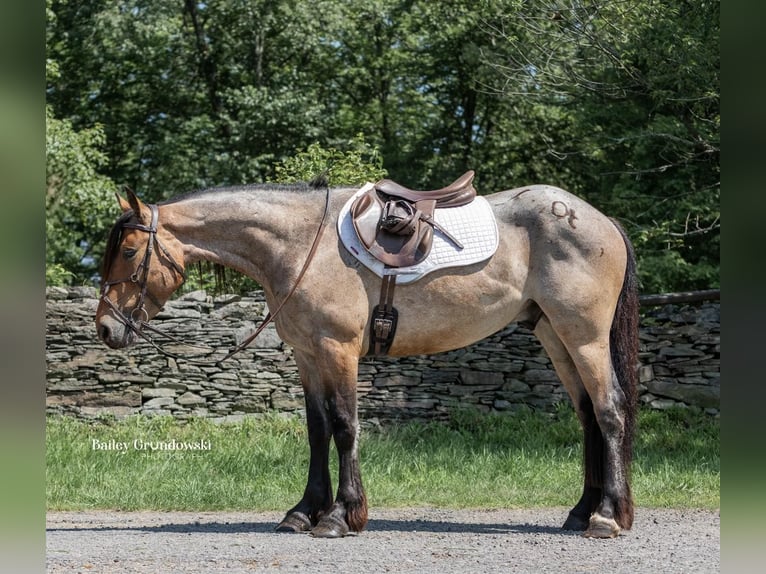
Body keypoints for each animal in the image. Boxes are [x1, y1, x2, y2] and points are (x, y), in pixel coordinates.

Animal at [93, 174, 640, 540]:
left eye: (128, 252)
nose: (105, 328)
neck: (298, 245)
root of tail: (600, 220)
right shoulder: (307, 355)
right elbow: (317, 430)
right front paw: (303, 512)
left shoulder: (337, 350)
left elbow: (344, 426)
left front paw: (341, 515)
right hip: (555, 337)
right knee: (588, 417)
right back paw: (582, 511)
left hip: (584, 337)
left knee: (610, 411)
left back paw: (607, 517)